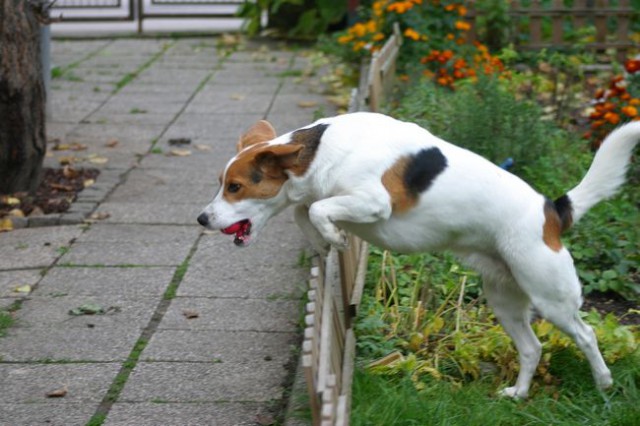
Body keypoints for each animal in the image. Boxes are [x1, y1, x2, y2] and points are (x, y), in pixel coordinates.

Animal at [198, 111, 636, 398]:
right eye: (220, 183)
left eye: (235, 187)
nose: (202, 218)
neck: (320, 152)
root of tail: (552, 210)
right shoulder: (325, 199)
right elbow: (304, 212)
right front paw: (324, 240)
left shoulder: (374, 203)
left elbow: (317, 209)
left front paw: (332, 236)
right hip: (505, 299)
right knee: (532, 349)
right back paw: (519, 393)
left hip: (551, 297)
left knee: (586, 335)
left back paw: (603, 383)